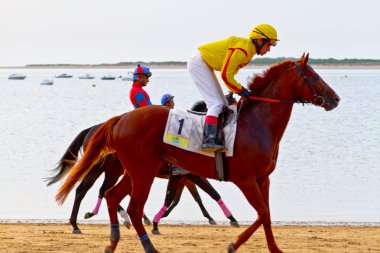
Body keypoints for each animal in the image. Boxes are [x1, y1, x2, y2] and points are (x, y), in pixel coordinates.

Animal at [56, 53, 342, 253]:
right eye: (314, 75)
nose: (336, 99)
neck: (257, 124)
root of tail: (120, 119)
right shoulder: (244, 180)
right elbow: (260, 212)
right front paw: (233, 243)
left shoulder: (262, 179)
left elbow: (267, 214)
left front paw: (273, 248)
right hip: (140, 171)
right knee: (128, 205)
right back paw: (145, 244)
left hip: (133, 170)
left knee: (112, 196)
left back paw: (112, 240)